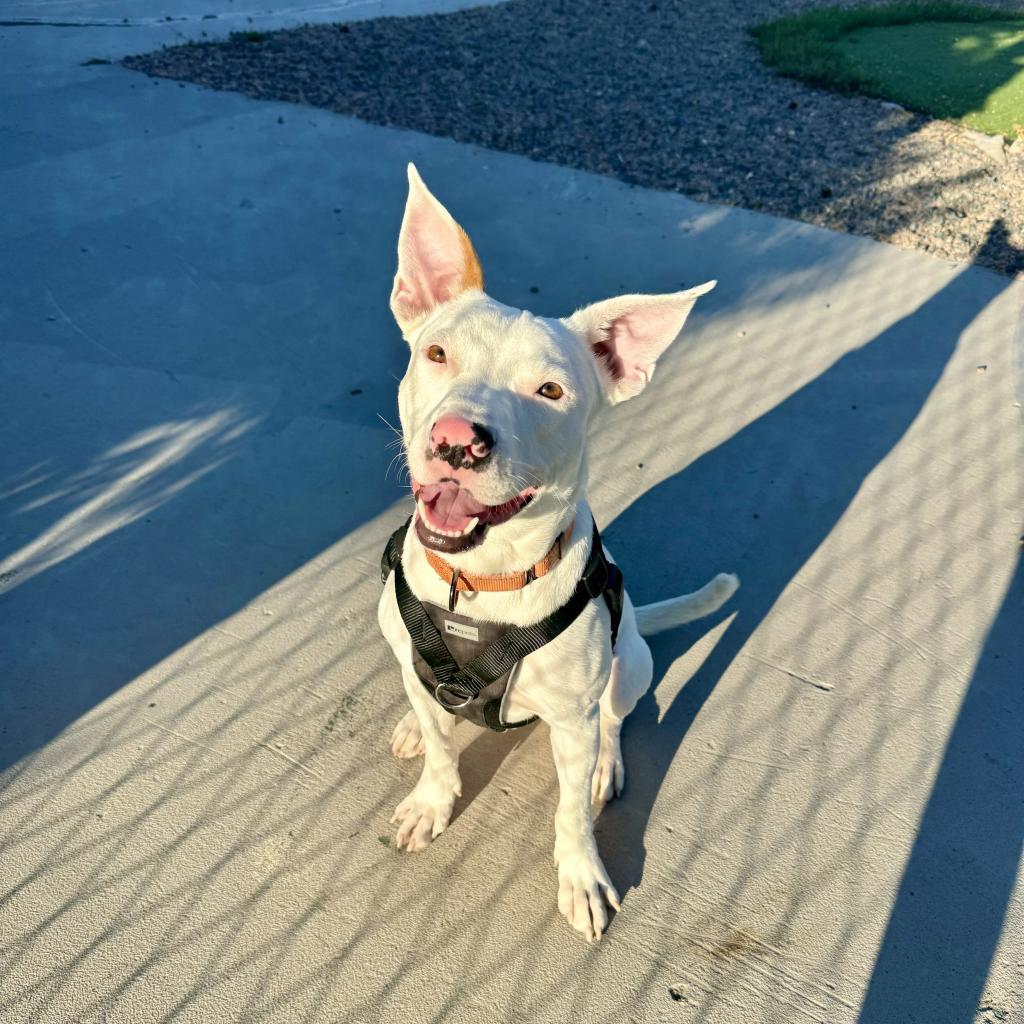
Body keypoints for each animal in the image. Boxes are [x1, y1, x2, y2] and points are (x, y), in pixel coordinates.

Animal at [376, 163, 737, 937]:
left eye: (549, 390)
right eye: (436, 354)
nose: (457, 441)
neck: (478, 584)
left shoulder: (572, 716)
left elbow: (570, 812)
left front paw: (581, 875)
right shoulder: (417, 660)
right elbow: (443, 754)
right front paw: (431, 798)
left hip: (630, 664)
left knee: (616, 718)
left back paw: (606, 767)